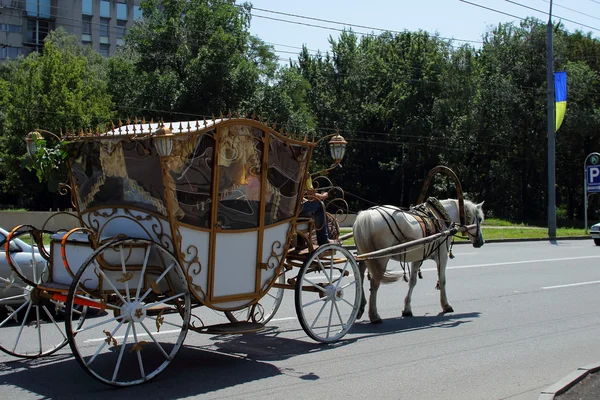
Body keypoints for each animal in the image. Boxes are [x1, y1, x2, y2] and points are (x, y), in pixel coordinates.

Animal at [354, 198, 486, 324]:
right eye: (479, 219)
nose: (481, 242)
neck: (440, 219)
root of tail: (367, 214)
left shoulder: (417, 258)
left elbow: (413, 282)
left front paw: (407, 309)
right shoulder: (442, 255)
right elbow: (442, 280)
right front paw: (446, 305)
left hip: (364, 256)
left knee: (360, 278)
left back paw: (360, 307)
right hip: (380, 258)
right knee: (374, 284)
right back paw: (374, 315)